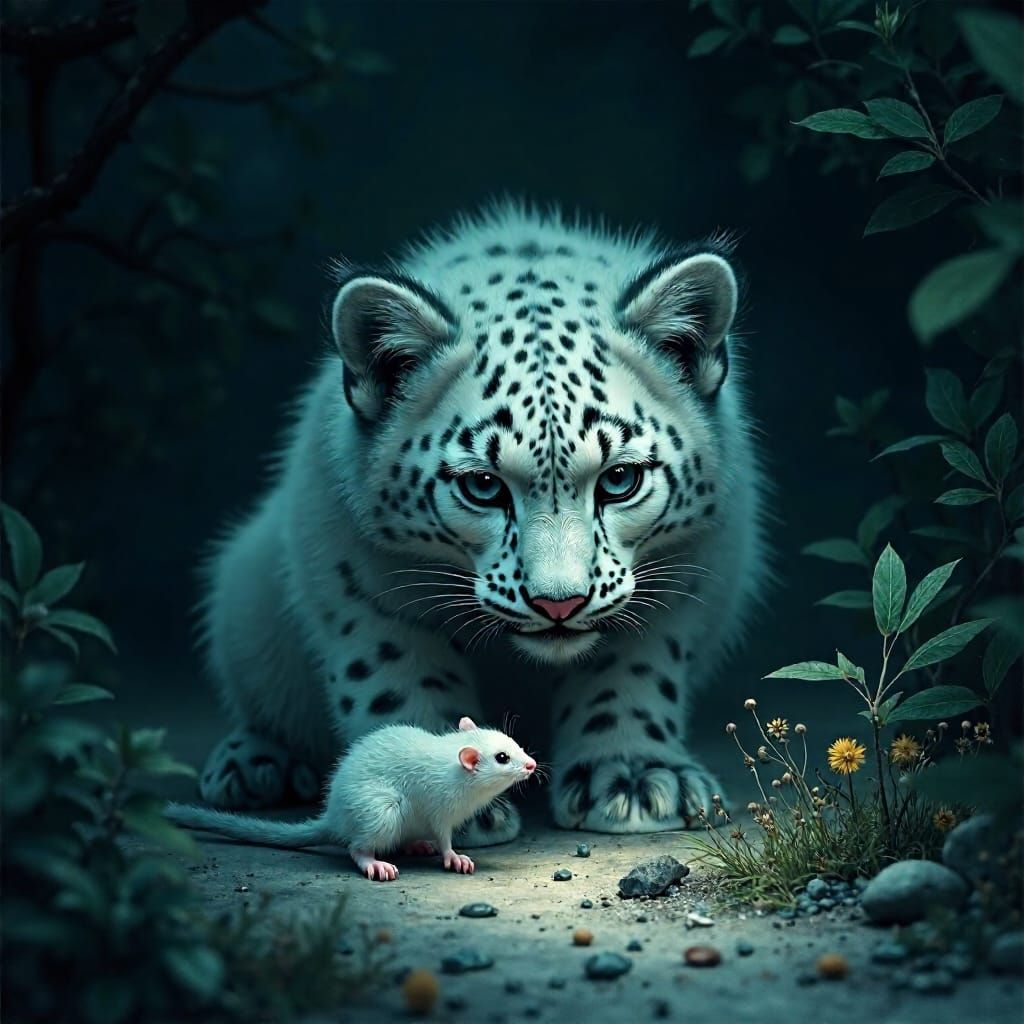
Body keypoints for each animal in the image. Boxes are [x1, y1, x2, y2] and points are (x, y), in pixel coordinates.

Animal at [196, 202, 768, 844]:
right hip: (244, 597)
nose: (559, 603)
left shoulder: (687, 574)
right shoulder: (358, 584)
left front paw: (633, 779)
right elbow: (394, 675)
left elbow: (633, 668)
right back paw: (255, 763)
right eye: (484, 485)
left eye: (620, 478)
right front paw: (435, 789)